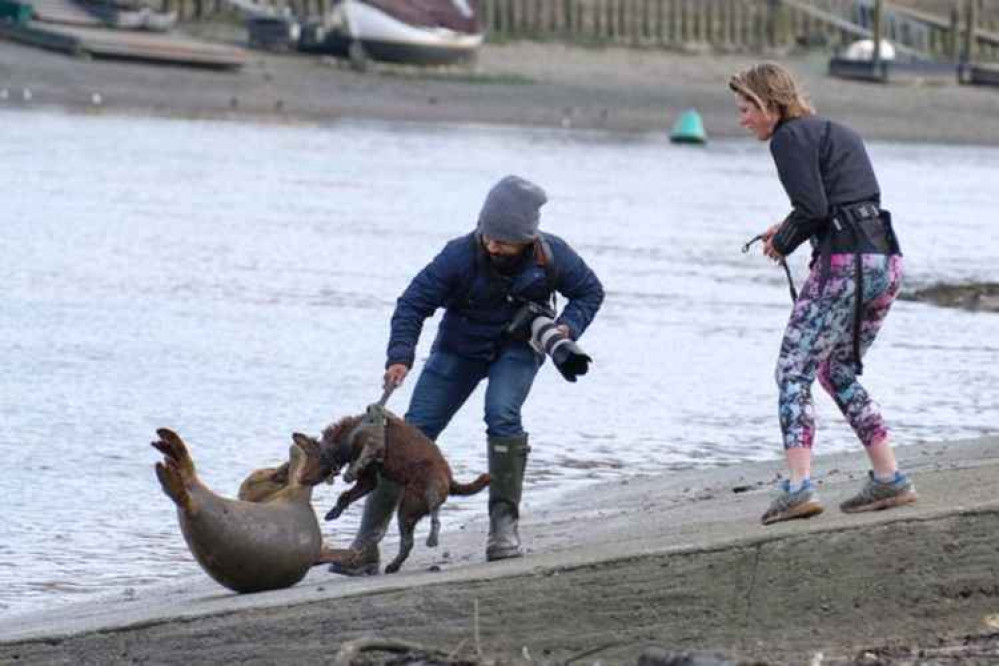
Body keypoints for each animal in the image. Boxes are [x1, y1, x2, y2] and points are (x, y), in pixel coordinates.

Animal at [308, 410, 488, 572]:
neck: (350, 431)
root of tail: (450, 480)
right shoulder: (368, 479)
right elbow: (347, 495)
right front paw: (334, 511)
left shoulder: (370, 444)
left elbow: (363, 458)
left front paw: (350, 472)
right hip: (410, 508)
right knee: (408, 541)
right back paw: (393, 565)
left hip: (420, 494)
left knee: (434, 511)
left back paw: (432, 536)